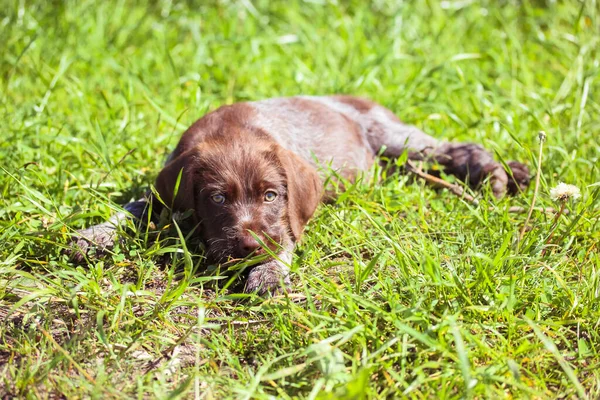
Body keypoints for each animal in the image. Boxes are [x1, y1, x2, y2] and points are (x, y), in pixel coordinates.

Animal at [70, 94, 528, 294]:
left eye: (272, 195)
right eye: (217, 199)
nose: (250, 247)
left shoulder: (286, 220)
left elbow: (286, 238)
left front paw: (269, 273)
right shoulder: (164, 191)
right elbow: (134, 207)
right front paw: (96, 235)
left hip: (398, 139)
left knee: (456, 148)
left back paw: (498, 175)